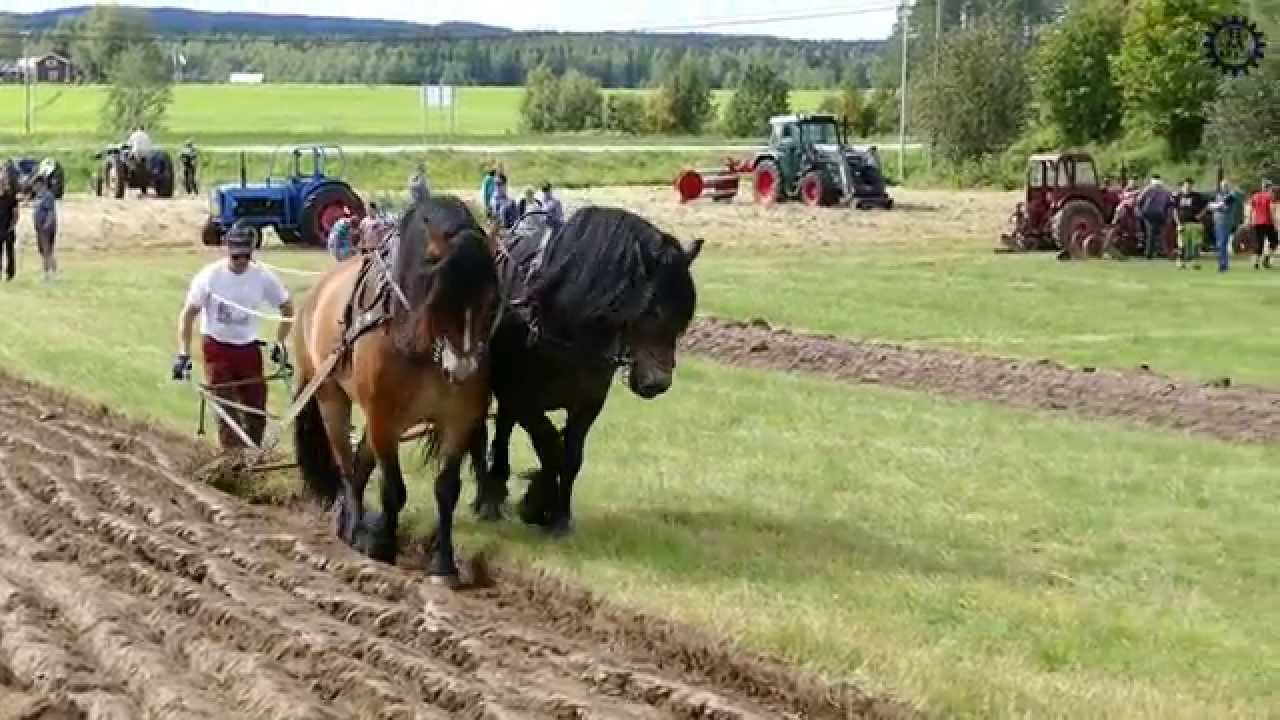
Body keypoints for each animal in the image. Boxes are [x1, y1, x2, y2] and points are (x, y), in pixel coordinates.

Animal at [291, 193, 501, 584]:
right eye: (440, 297)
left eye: (491, 300)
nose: (462, 368)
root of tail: (316, 294)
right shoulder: (384, 419)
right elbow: (393, 490)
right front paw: (382, 547)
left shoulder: (459, 419)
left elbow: (446, 490)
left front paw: (444, 564)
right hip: (332, 399)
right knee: (347, 465)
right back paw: (353, 525)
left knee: (359, 465)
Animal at [469, 205, 703, 534]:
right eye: (651, 310)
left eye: (684, 317)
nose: (657, 383)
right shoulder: (525, 400)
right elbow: (550, 446)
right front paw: (537, 504)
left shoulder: (588, 403)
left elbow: (570, 457)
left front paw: (558, 516)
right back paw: (488, 498)